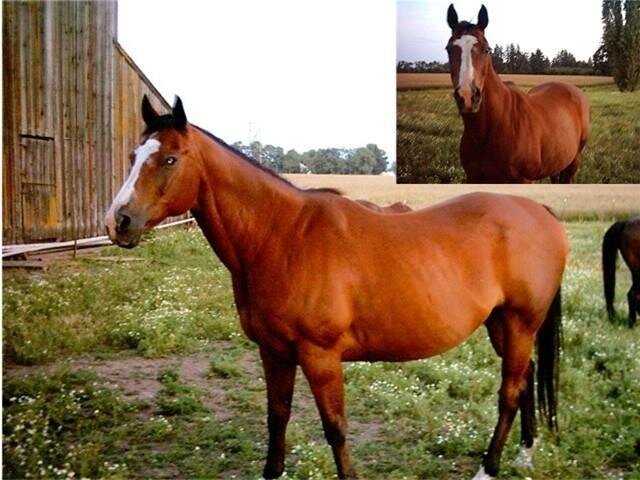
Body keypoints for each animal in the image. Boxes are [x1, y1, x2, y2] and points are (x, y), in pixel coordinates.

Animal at [105, 96, 568, 479]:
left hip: (521, 323)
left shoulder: (321, 356)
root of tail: (538, 211)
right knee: (525, 379)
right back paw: (525, 456)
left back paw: (489, 468)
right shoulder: (274, 352)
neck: (282, 237)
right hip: (501, 325)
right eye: (132, 156)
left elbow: (335, 429)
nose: (118, 222)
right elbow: (277, 418)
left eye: (169, 159)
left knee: (509, 392)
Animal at [445, 4, 590, 183]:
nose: (467, 97)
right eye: (448, 49)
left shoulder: (522, 179)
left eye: (487, 50)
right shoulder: (473, 178)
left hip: (573, 161)